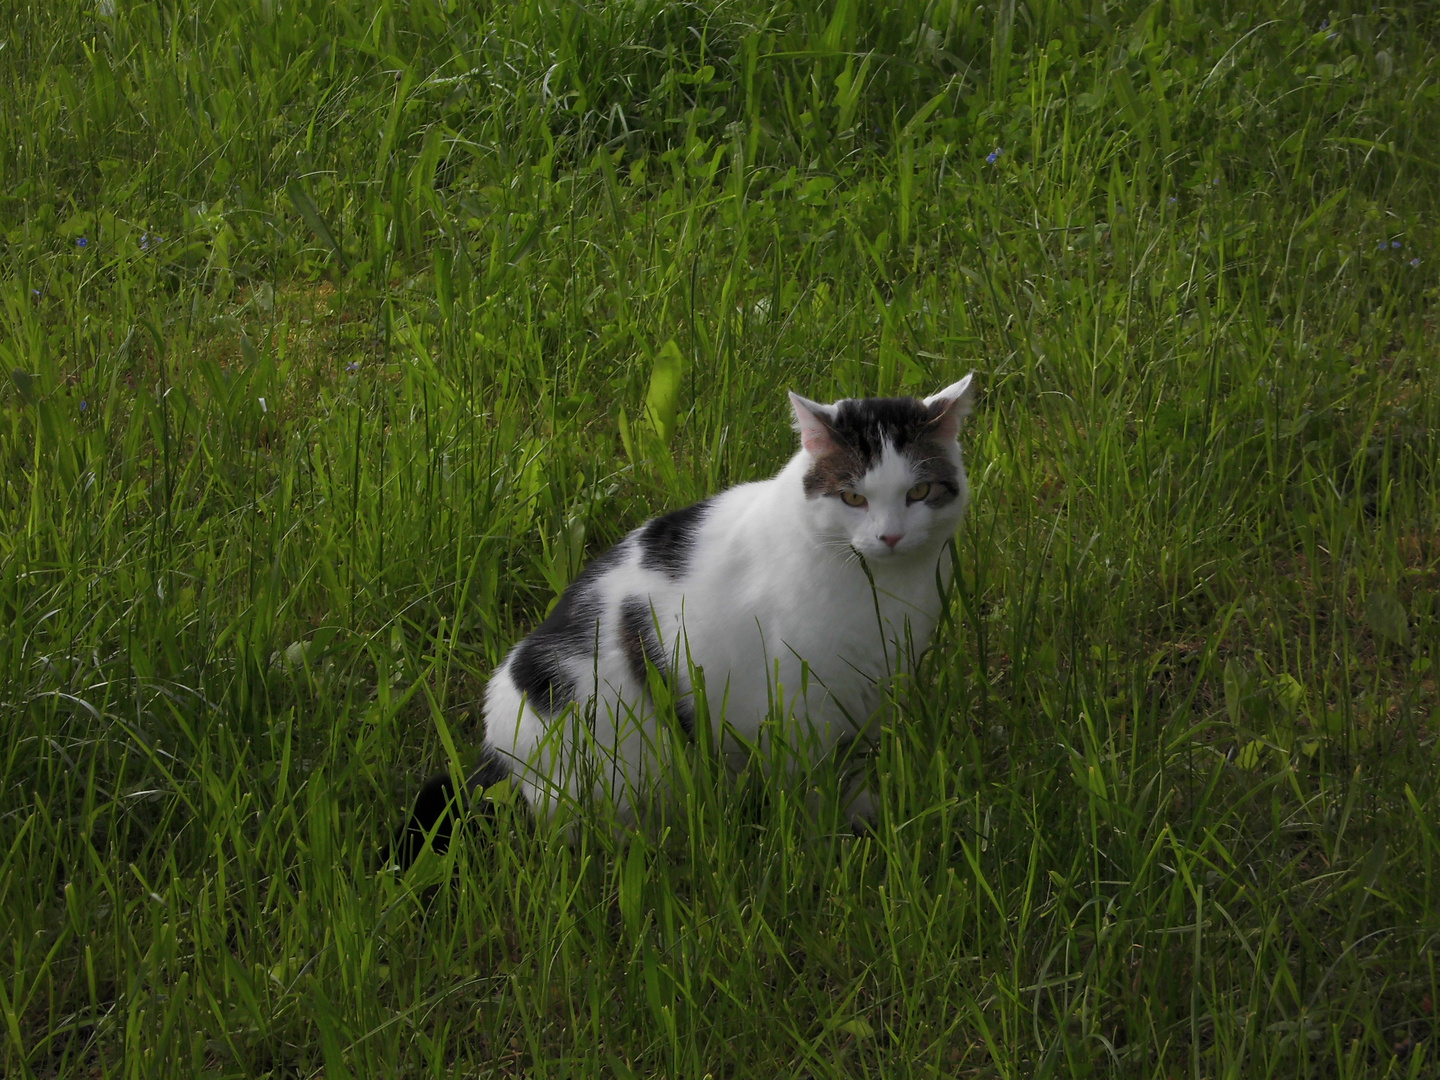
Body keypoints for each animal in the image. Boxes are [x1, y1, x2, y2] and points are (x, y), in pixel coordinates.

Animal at [397, 377, 979, 869]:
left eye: (919, 493)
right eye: (854, 497)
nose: (890, 536)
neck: (884, 589)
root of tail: (495, 755)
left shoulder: (873, 684)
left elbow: (855, 764)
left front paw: (866, 816)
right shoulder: (798, 698)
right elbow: (811, 780)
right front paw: (824, 842)